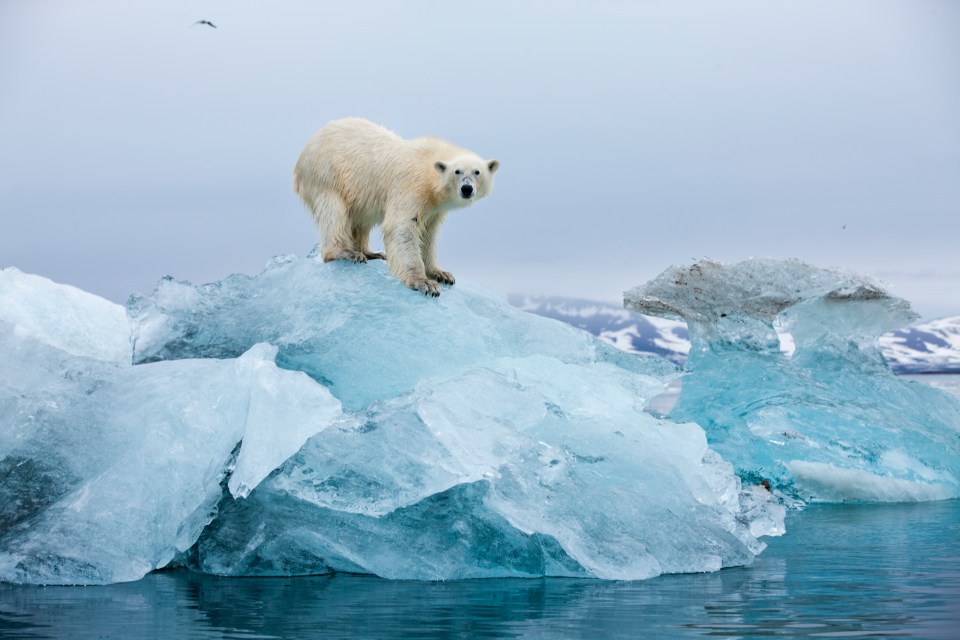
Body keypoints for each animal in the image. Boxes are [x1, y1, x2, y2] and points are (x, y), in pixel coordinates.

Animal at [294, 118, 502, 298]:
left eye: (477, 172)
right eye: (457, 171)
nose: (467, 189)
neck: (428, 168)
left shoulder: (434, 209)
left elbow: (428, 235)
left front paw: (441, 274)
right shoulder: (412, 186)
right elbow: (402, 227)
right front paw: (424, 283)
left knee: (361, 219)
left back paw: (371, 252)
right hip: (327, 174)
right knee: (334, 212)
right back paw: (346, 252)